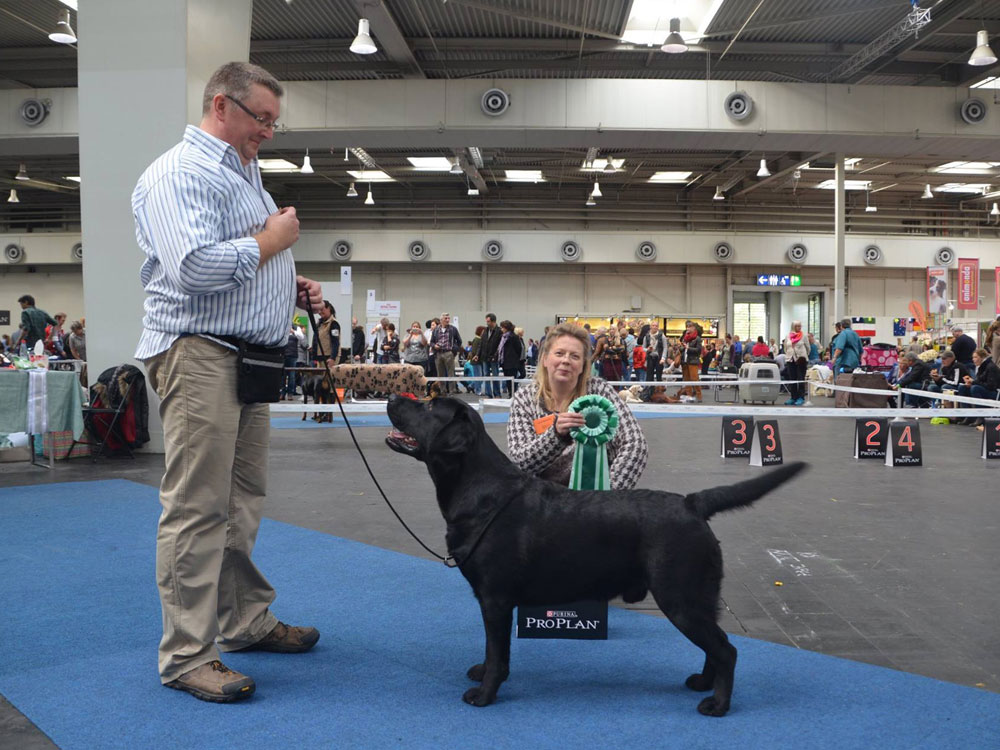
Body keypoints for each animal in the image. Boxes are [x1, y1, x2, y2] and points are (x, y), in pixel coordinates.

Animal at [385, 395, 806, 716]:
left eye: (428, 404)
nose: (391, 397)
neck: (479, 488)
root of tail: (692, 503)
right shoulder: (490, 601)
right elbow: (491, 650)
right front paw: (480, 672)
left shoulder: (495, 599)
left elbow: (498, 652)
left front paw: (485, 694)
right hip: (698, 597)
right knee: (714, 645)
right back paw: (703, 683)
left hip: (680, 596)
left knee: (726, 650)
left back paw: (717, 705)